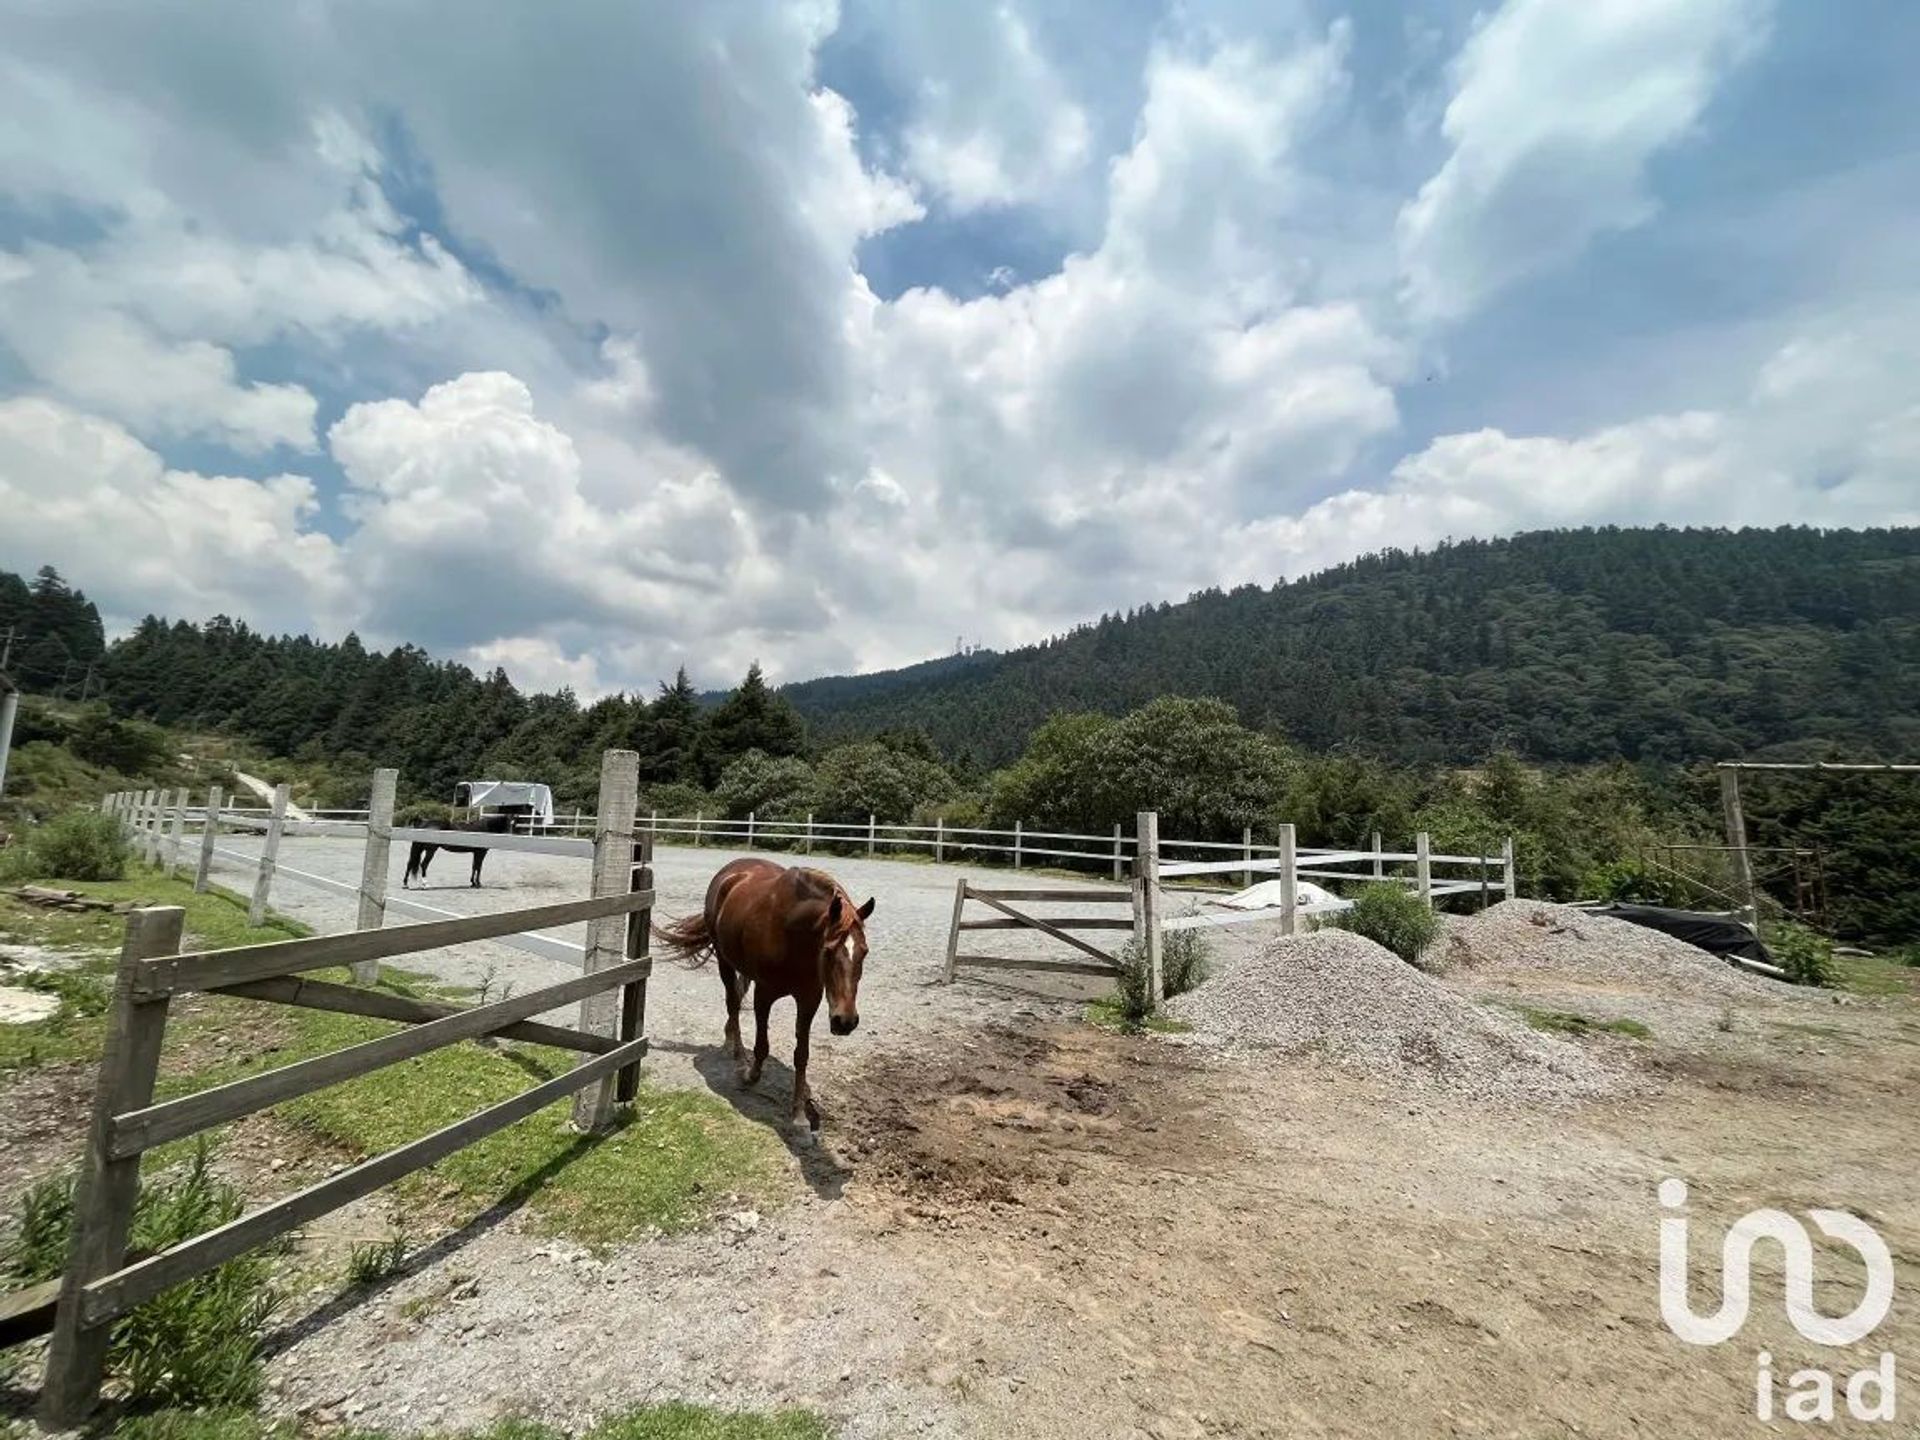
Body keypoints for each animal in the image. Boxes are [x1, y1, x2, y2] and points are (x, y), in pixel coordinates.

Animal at [652, 864, 879, 1136]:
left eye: (864, 951)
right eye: (828, 950)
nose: (845, 1021)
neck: (793, 935)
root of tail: (730, 872)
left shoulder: (809, 999)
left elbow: (802, 1055)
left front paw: (799, 1114)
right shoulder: (764, 994)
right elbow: (762, 1045)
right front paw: (750, 1075)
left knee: (737, 996)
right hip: (724, 961)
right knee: (733, 1002)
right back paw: (738, 1055)